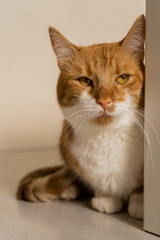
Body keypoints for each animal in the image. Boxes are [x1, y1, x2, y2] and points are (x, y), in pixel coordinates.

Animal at [17, 13, 145, 219]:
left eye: (122, 78)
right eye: (85, 81)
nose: (105, 101)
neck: (108, 138)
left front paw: (140, 200)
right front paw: (105, 197)